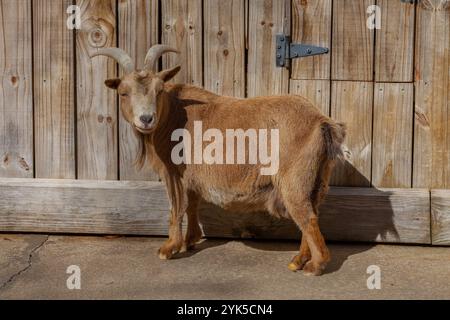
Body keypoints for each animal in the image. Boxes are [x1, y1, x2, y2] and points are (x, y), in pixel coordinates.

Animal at [90, 44, 344, 276]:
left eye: (159, 90)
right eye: (124, 92)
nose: (146, 119)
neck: (172, 114)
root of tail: (321, 122)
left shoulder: (173, 173)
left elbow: (176, 208)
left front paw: (169, 248)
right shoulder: (190, 177)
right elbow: (192, 205)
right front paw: (190, 240)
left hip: (294, 180)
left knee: (307, 217)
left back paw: (314, 266)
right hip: (318, 179)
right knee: (311, 212)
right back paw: (298, 260)